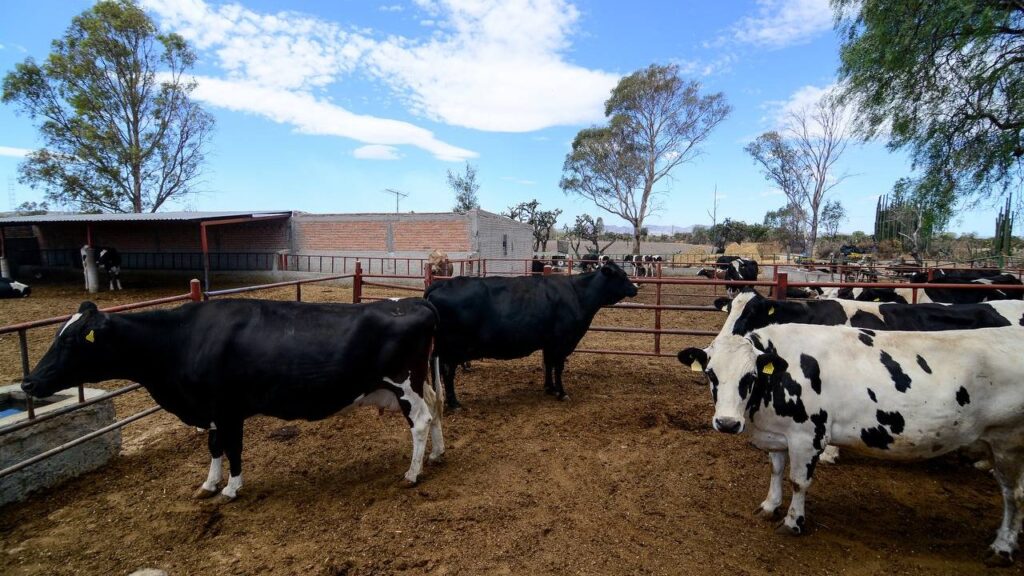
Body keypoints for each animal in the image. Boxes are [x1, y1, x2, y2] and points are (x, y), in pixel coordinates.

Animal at [20, 295, 444, 498]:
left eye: (72, 341)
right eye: (57, 335)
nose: (28, 383)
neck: (181, 339)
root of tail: (414, 301)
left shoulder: (227, 408)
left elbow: (233, 447)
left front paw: (232, 488)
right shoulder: (210, 409)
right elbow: (214, 447)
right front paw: (208, 484)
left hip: (403, 383)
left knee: (421, 421)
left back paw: (412, 473)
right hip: (419, 381)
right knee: (437, 409)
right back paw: (436, 456)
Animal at [421, 260, 630, 403]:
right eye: (622, 275)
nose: (634, 288)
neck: (577, 293)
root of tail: (442, 283)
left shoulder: (549, 342)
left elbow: (548, 364)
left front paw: (549, 388)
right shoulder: (562, 342)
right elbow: (558, 367)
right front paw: (561, 392)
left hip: (443, 347)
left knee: (435, 366)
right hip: (453, 347)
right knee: (447, 371)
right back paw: (453, 402)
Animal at [679, 323, 1024, 565]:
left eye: (749, 376)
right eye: (710, 374)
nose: (726, 423)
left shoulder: (807, 436)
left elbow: (798, 482)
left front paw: (793, 522)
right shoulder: (778, 435)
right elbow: (776, 471)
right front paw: (769, 506)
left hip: (1008, 441)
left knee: (1014, 496)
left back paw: (1002, 547)